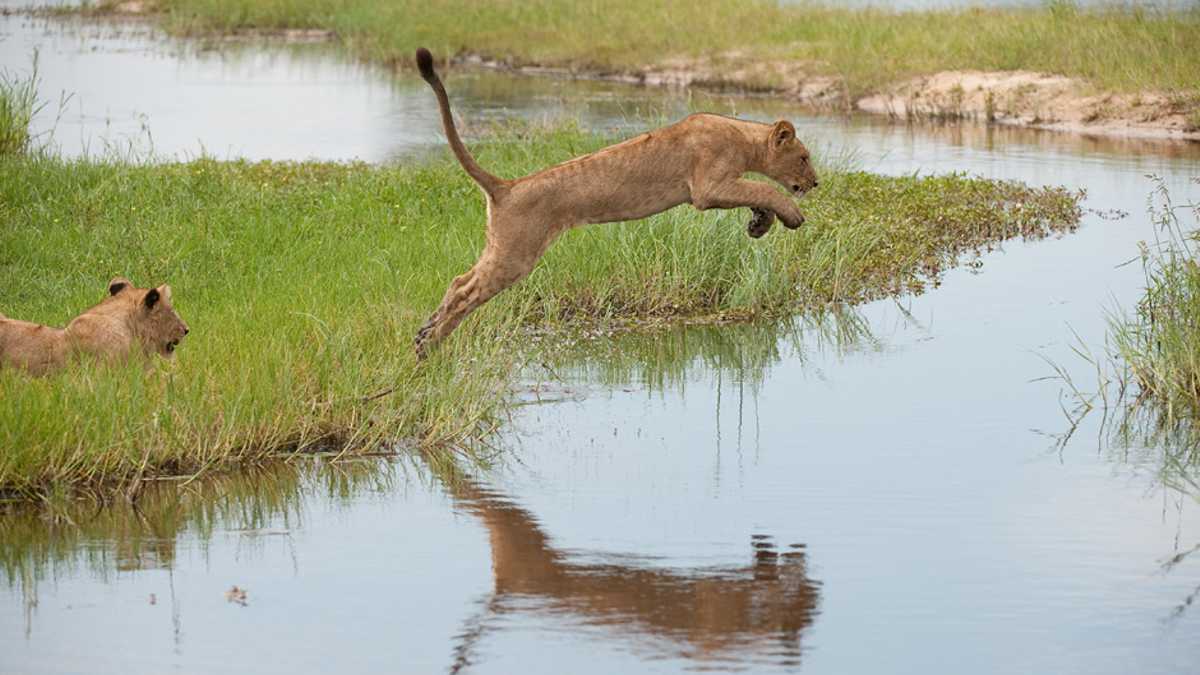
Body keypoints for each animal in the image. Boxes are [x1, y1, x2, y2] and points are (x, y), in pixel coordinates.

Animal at [412, 47, 819, 358]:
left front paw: (759, 224)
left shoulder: (723, 185)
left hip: (500, 245)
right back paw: (429, 345)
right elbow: (764, 189)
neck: (743, 137)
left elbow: (756, 194)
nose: (815, 182)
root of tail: (506, 187)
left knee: (459, 280)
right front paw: (792, 215)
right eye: (803, 157)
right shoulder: (707, 187)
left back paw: (425, 331)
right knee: (466, 291)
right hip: (517, 253)